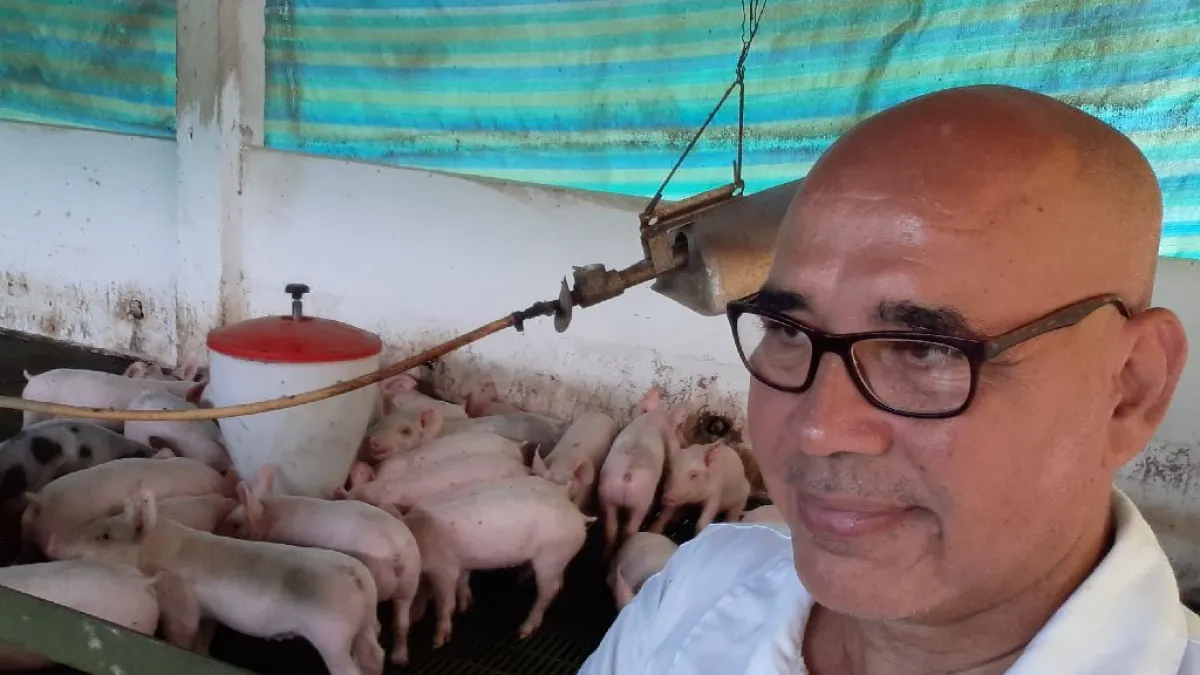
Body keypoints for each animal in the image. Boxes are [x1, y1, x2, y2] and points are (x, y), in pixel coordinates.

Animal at [49, 490, 385, 675]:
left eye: (105, 535)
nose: (54, 543)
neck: (154, 553)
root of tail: (358, 579)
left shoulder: (179, 602)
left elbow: (182, 633)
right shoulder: (209, 612)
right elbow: (204, 637)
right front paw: (203, 653)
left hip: (331, 636)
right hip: (365, 624)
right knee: (374, 654)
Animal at [224, 464, 421, 666]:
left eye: (235, 524)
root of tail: (396, 552)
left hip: (380, 580)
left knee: (378, 626)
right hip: (411, 580)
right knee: (402, 621)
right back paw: (400, 659)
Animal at [403, 481, 594, 647]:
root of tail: (577, 514)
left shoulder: (443, 569)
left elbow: (444, 603)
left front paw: (436, 642)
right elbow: (462, 581)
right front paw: (464, 607)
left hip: (550, 556)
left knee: (548, 590)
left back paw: (523, 631)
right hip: (558, 558)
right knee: (558, 583)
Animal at [597, 387, 687, 557]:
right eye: (678, 427)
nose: (685, 442)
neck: (651, 418)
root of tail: (627, 475)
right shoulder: (668, 438)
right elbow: (672, 451)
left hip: (607, 495)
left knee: (611, 529)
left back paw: (606, 556)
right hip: (642, 500)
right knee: (630, 528)